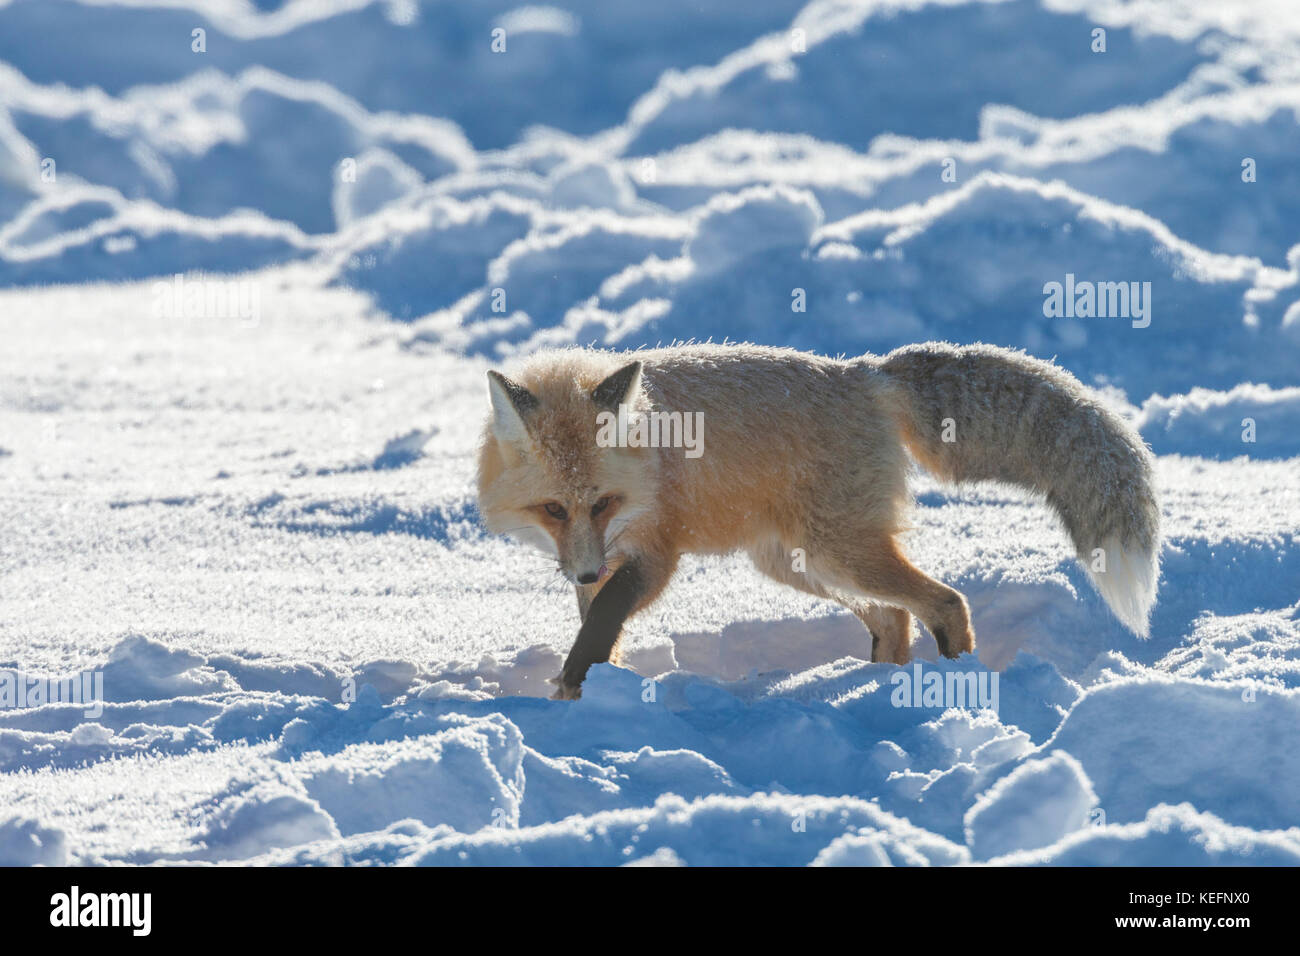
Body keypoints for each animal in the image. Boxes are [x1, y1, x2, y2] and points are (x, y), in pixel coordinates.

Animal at [475, 340, 1159, 697]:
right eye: (553, 508)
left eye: (602, 503)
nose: (585, 575)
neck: (650, 458)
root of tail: (866, 373)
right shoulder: (602, 558)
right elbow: (597, 627)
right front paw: (588, 692)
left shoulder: (654, 554)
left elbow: (600, 626)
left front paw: (571, 690)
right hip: (798, 563)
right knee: (893, 619)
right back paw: (867, 689)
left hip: (835, 552)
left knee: (945, 603)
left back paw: (947, 683)